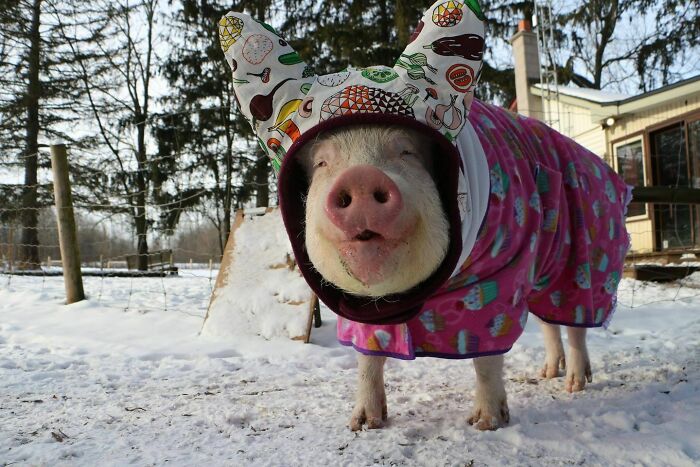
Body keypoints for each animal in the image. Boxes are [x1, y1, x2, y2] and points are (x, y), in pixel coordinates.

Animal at [219, 0, 630, 432]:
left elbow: (487, 356)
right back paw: (548, 373)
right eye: (322, 163)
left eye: (406, 152)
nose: (360, 177)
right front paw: (363, 424)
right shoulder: (359, 306)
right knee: (550, 321)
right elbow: (367, 358)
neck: (416, 296)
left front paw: (485, 423)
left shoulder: (504, 271)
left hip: (583, 257)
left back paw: (574, 385)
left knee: (575, 320)